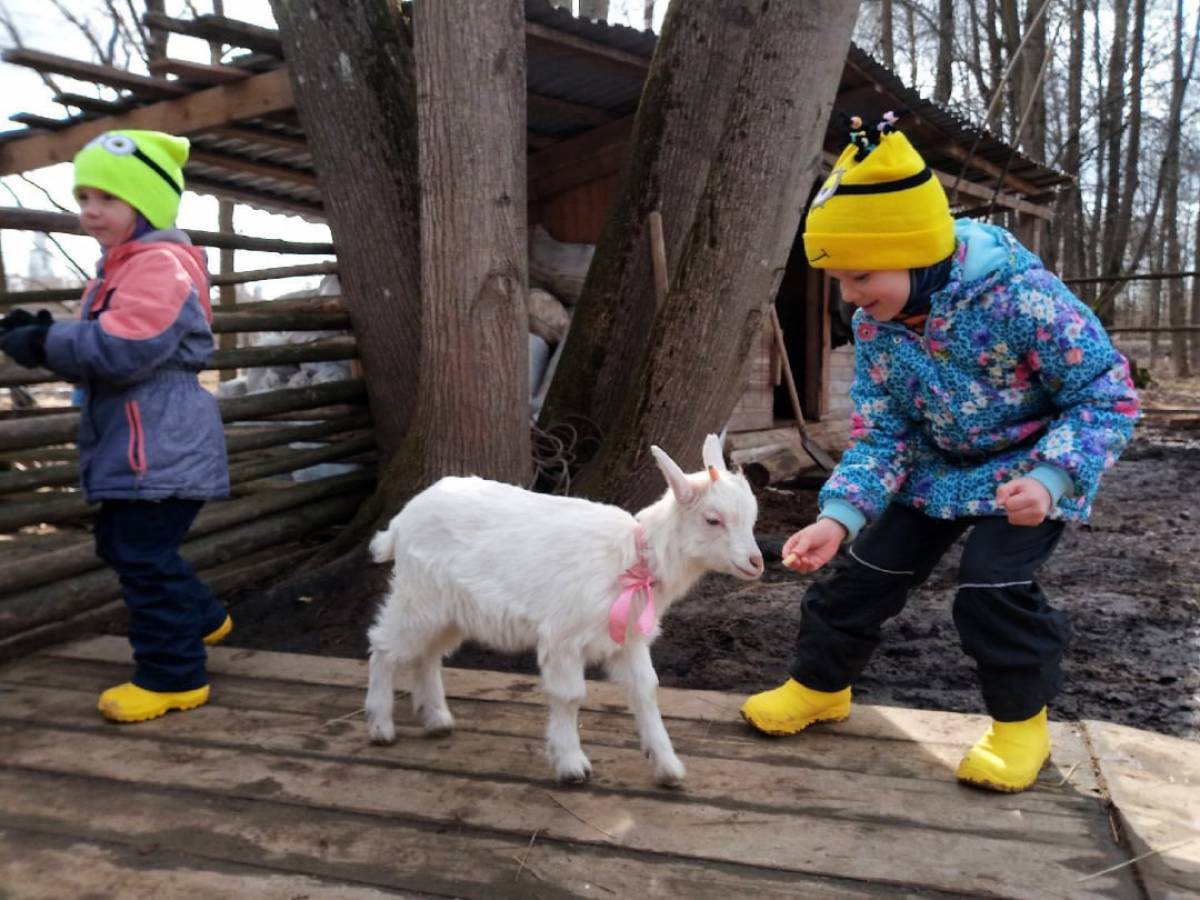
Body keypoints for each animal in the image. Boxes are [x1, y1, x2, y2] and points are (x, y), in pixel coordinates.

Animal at [364, 434, 758, 787]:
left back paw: (437, 719)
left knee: (428, 654)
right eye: (712, 519)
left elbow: (645, 691)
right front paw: (571, 765)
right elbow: (570, 697)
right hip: (418, 597)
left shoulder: (629, 639)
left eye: (753, 518)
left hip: (449, 610)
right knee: (384, 645)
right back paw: (381, 726)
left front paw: (667, 766)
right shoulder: (564, 638)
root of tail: (400, 522)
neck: (633, 559)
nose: (756, 562)